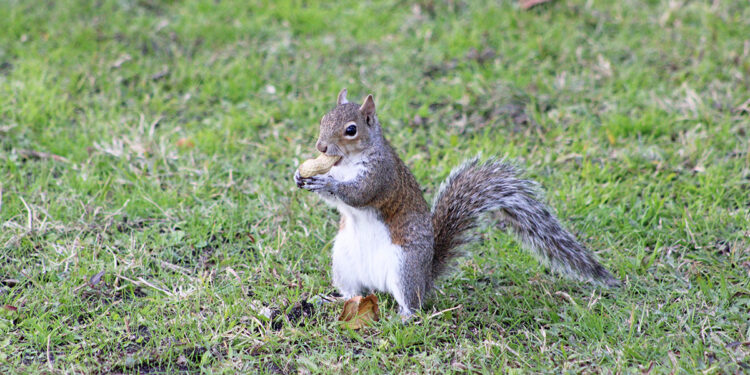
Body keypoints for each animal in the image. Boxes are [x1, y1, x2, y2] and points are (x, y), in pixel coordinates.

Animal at [296, 90, 624, 318]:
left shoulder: (381, 175)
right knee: (354, 293)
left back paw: (403, 316)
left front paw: (326, 184)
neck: (346, 162)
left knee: (413, 303)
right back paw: (335, 299)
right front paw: (300, 176)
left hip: (404, 266)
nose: (320, 146)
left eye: (351, 130)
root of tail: (425, 278)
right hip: (344, 262)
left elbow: (359, 193)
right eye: (324, 119)